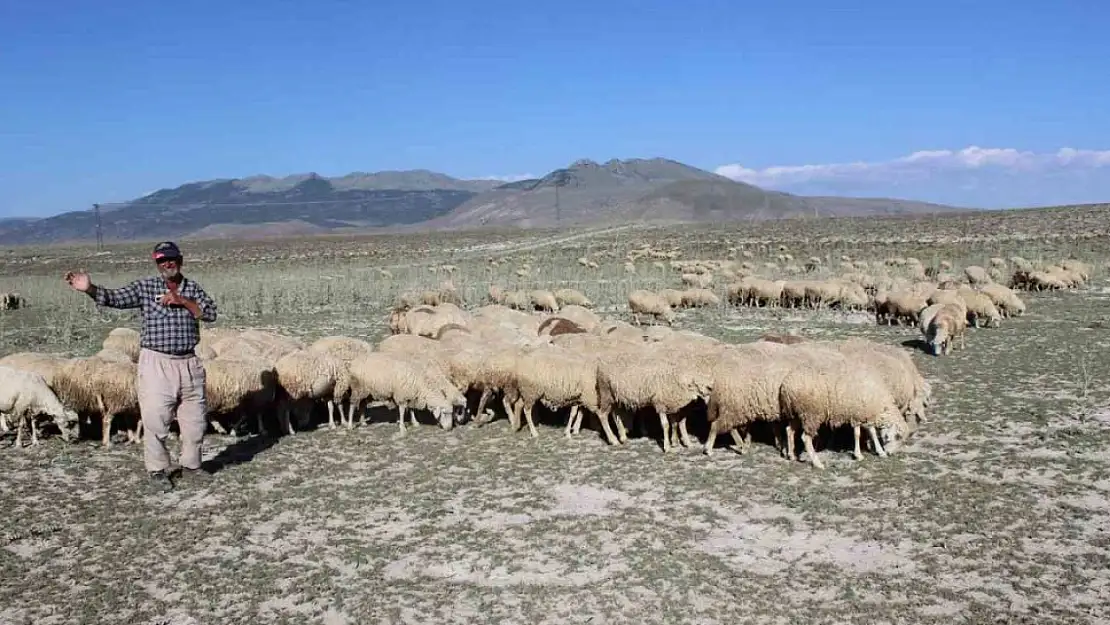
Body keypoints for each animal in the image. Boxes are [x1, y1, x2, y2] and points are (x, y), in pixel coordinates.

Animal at [772, 353, 910, 470]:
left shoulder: (865, 413)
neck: (879, 401)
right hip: (811, 413)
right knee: (805, 438)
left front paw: (880, 452)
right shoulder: (857, 414)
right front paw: (858, 455)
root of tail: (786, 384)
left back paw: (791, 455)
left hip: (797, 412)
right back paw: (817, 463)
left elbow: (872, 433)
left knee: (789, 430)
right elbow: (857, 434)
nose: (890, 453)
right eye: (898, 436)